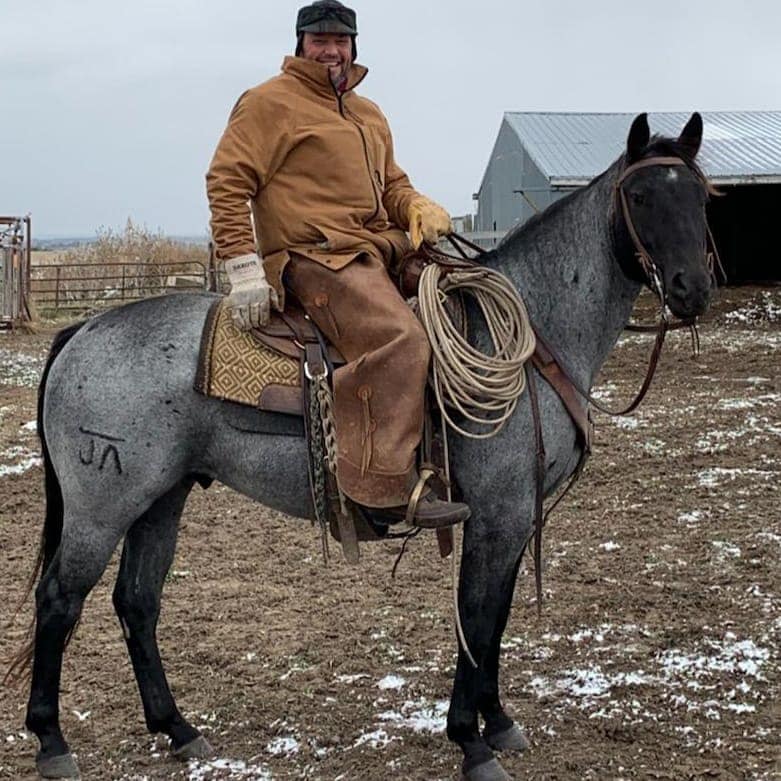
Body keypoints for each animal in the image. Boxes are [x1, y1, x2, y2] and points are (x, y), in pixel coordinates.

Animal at [10, 114, 712, 780]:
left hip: (162, 498)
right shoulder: (498, 513)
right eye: (641, 196)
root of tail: (84, 330)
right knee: (60, 600)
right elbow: (477, 614)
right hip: (102, 506)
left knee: (137, 601)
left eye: (702, 195)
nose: (692, 289)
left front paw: (499, 722)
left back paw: (178, 730)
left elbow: (498, 616)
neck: (532, 336)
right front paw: (471, 741)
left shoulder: (514, 518)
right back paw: (51, 741)